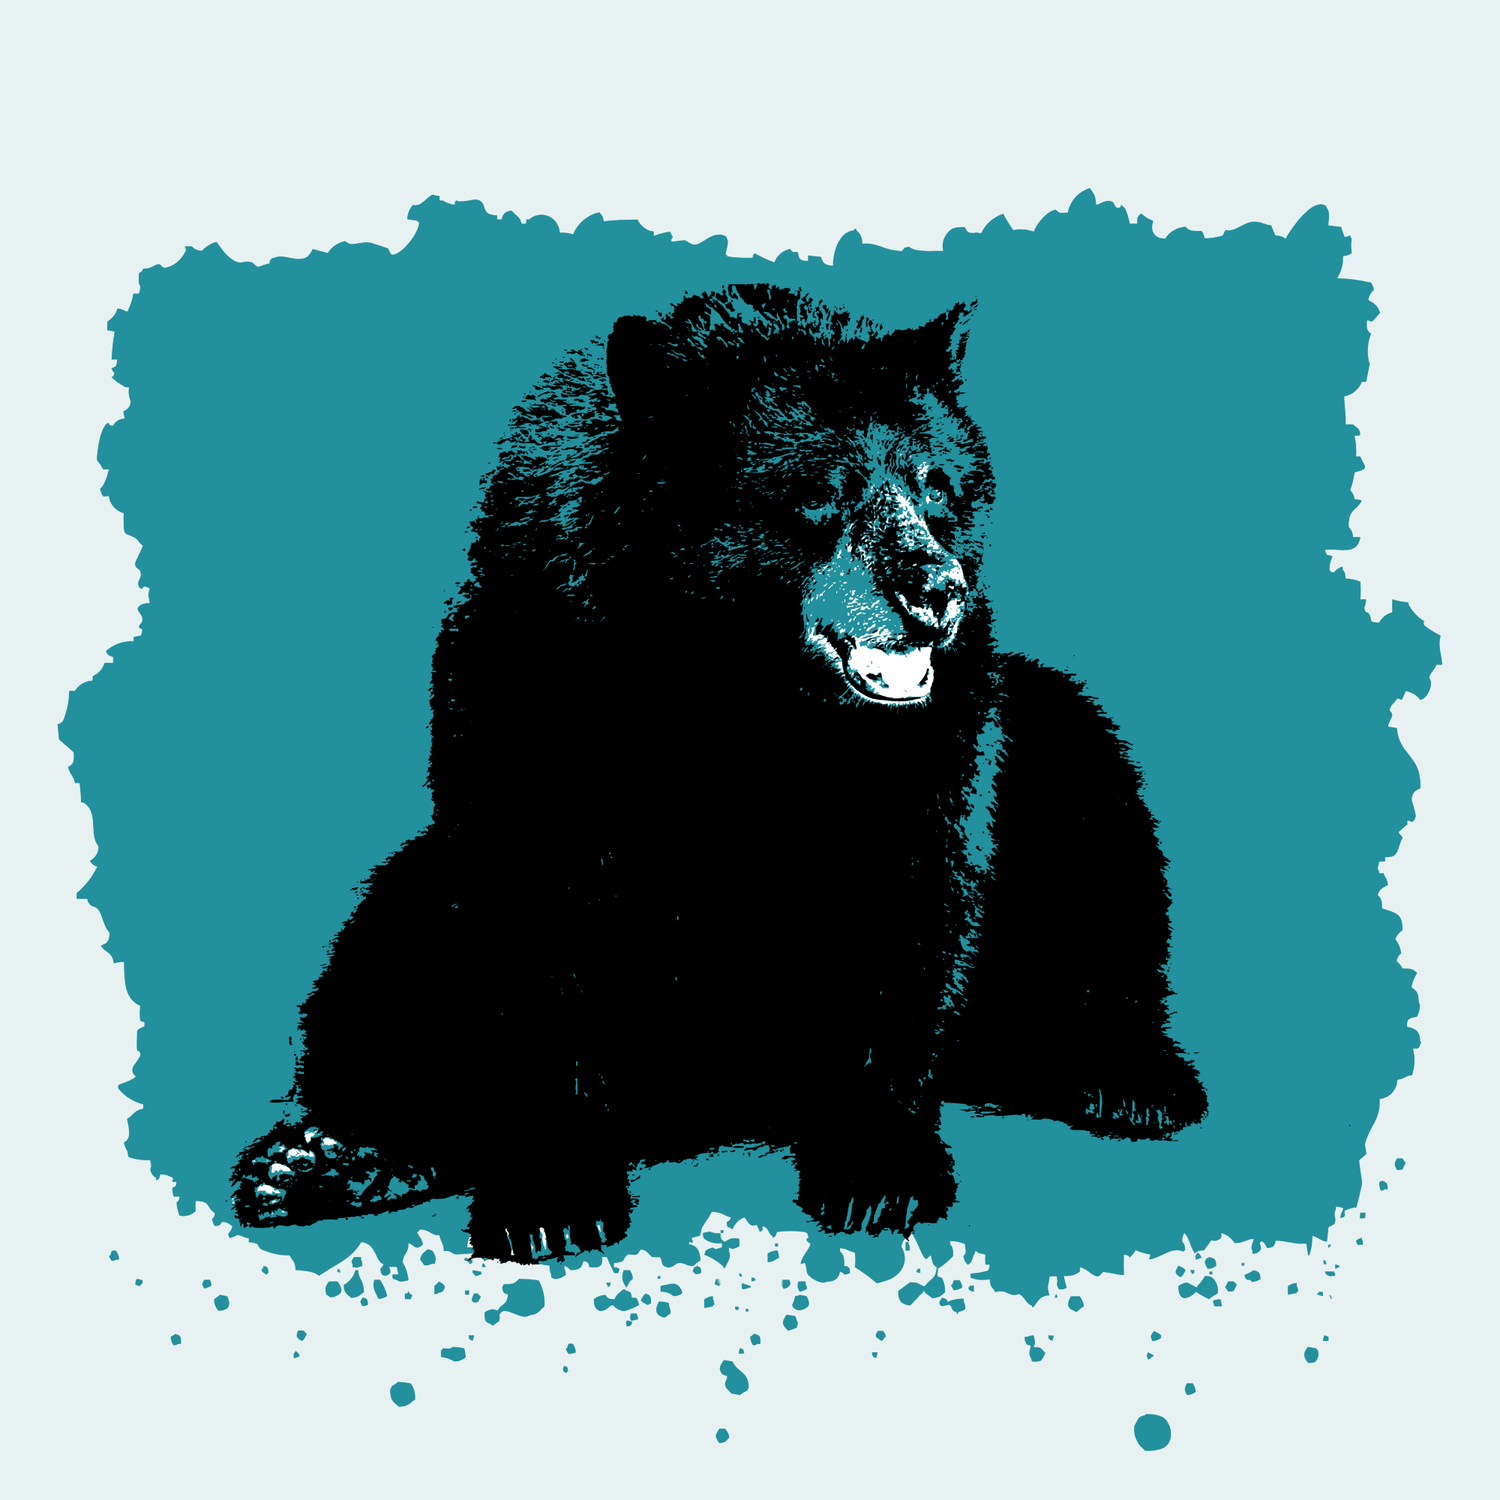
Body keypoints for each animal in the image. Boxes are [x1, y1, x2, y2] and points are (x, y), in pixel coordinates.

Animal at [231, 282, 1207, 1263]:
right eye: (819, 492)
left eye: (937, 486)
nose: (938, 589)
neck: (744, 695)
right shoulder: (534, 695)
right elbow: (529, 929)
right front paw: (548, 1197)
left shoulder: (932, 742)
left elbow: (913, 908)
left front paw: (878, 1171)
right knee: (378, 955)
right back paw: (325, 1160)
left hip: (1053, 748)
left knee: (1101, 839)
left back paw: (1129, 1075)